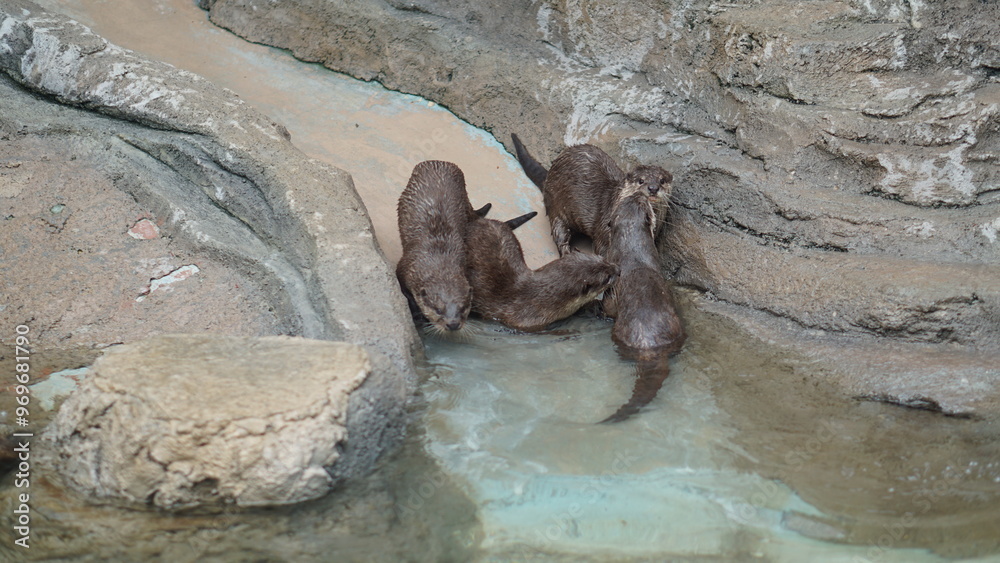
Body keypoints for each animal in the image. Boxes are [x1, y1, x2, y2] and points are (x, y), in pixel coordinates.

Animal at [396, 160, 490, 333]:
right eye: (438, 310)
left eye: (463, 308)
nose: (453, 324)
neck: (439, 257)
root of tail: (440, 162)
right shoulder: (404, 268)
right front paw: (418, 315)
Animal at [511, 134, 672, 257]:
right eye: (641, 180)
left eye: (662, 180)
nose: (653, 188)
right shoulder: (604, 230)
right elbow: (602, 249)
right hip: (556, 208)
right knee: (559, 235)